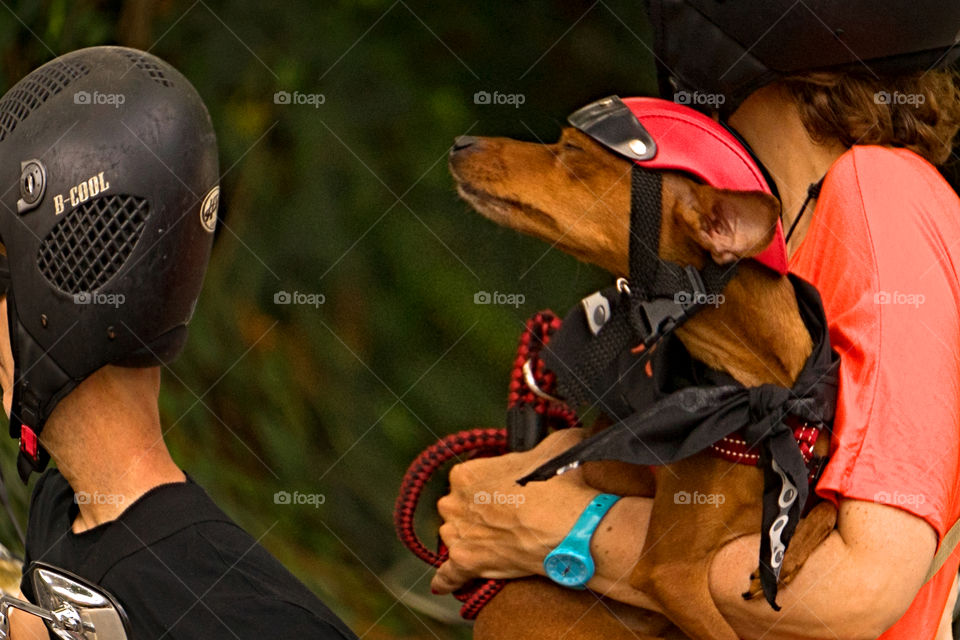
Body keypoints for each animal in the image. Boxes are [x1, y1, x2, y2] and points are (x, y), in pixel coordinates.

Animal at [446, 126, 836, 640]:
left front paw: (786, 559)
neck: (759, 398)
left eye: (573, 150)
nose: (460, 143)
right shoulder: (669, 575)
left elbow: (829, 507)